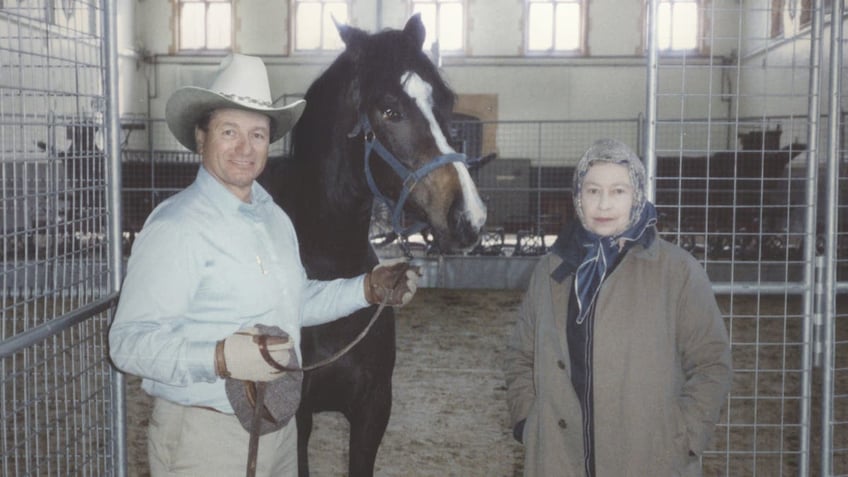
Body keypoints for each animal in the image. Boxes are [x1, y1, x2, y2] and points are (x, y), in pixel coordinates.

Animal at [258, 14, 486, 476]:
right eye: (389, 110)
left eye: (447, 101)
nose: (468, 217)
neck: (329, 267)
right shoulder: (298, 418)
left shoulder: (373, 409)